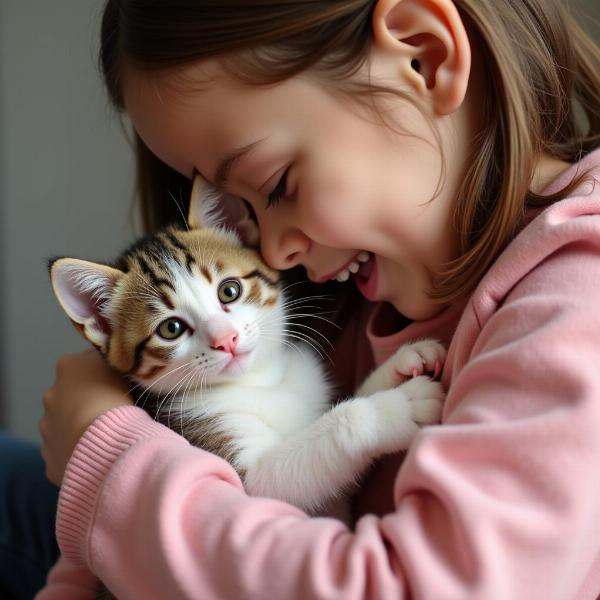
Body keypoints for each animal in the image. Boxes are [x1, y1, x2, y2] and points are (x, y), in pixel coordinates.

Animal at [48, 173, 446, 596]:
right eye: (171, 328)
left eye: (229, 290)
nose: (226, 340)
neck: (262, 382)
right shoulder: (232, 462)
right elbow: (307, 455)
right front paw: (401, 405)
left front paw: (400, 365)